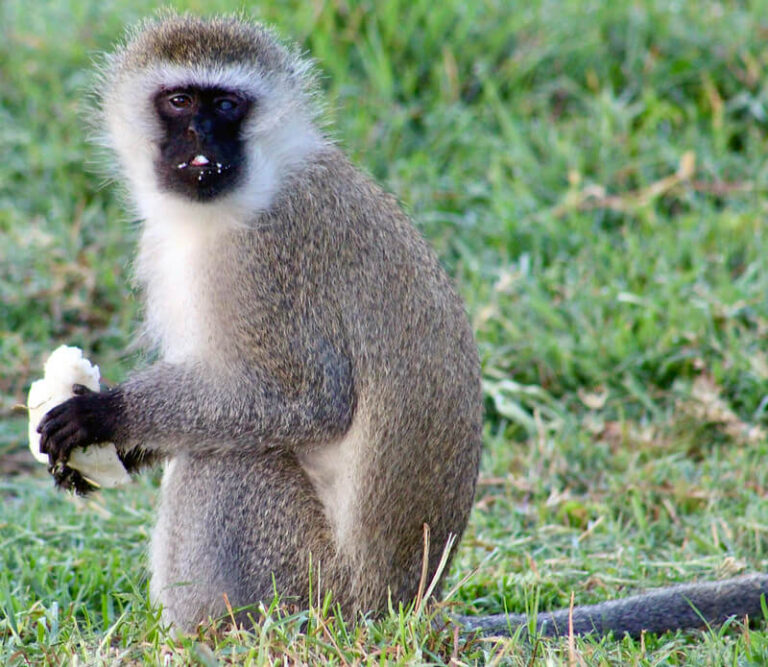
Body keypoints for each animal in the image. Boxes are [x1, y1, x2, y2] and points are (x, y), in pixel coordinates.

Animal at [39, 14, 768, 636]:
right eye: (180, 103)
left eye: (226, 107)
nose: (200, 143)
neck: (240, 196)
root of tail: (398, 607)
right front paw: (119, 445)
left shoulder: (267, 262)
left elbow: (304, 399)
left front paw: (108, 414)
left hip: (311, 588)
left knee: (229, 464)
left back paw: (204, 637)